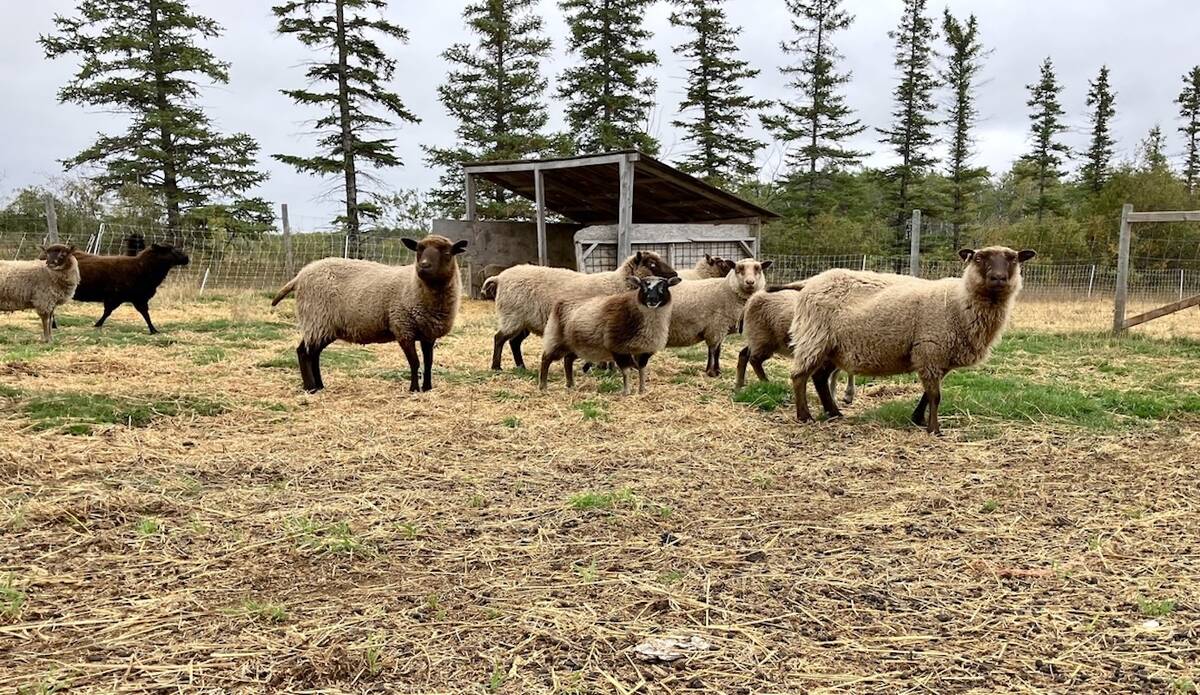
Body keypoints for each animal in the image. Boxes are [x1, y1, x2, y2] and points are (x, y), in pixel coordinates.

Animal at [271, 234, 468, 393]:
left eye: (447, 253)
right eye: (418, 250)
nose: (423, 266)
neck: (415, 285)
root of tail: (300, 275)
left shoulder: (428, 333)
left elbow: (428, 362)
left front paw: (427, 388)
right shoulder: (403, 328)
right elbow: (415, 362)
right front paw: (413, 389)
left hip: (324, 325)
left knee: (313, 354)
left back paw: (319, 385)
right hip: (316, 318)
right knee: (304, 353)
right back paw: (311, 388)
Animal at [486, 251, 677, 371]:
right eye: (652, 264)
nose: (675, 274)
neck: (617, 283)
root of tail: (500, 277)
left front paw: (603, 368)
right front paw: (602, 368)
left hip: (524, 320)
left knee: (514, 342)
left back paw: (521, 366)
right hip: (512, 316)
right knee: (499, 338)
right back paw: (496, 367)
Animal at [539, 275, 681, 395]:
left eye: (664, 286)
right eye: (642, 286)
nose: (652, 300)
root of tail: (561, 302)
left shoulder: (644, 351)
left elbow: (642, 370)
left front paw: (642, 390)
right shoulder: (618, 348)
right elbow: (626, 371)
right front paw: (626, 392)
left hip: (577, 346)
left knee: (568, 360)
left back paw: (570, 384)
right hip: (557, 339)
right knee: (546, 358)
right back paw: (543, 386)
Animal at [785, 246, 1035, 434]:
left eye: (1013, 259)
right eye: (979, 258)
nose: (998, 278)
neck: (959, 302)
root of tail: (810, 282)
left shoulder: (938, 357)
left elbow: (927, 394)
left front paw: (918, 419)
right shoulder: (930, 349)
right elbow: (935, 396)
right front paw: (934, 430)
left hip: (832, 347)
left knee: (819, 377)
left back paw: (834, 413)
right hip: (814, 336)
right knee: (799, 376)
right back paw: (805, 416)